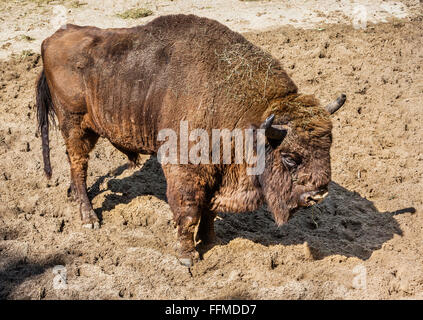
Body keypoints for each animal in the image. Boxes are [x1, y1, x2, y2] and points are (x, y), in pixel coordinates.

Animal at [36, 13, 346, 266]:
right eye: (290, 157)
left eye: (329, 147)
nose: (318, 193)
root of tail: (53, 38)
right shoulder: (185, 170)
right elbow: (188, 211)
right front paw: (188, 257)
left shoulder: (216, 173)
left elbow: (207, 209)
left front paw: (210, 241)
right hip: (75, 125)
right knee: (79, 163)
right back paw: (89, 218)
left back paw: (74, 197)